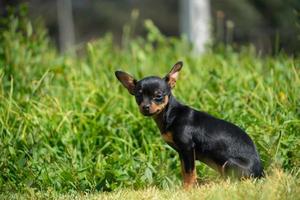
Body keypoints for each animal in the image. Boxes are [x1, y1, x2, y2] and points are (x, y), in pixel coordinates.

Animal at [115, 61, 262, 188]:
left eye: (158, 96)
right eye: (138, 96)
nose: (145, 107)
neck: (171, 114)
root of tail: (261, 173)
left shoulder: (187, 149)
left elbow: (190, 173)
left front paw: (188, 189)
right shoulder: (182, 153)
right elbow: (184, 172)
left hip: (229, 164)